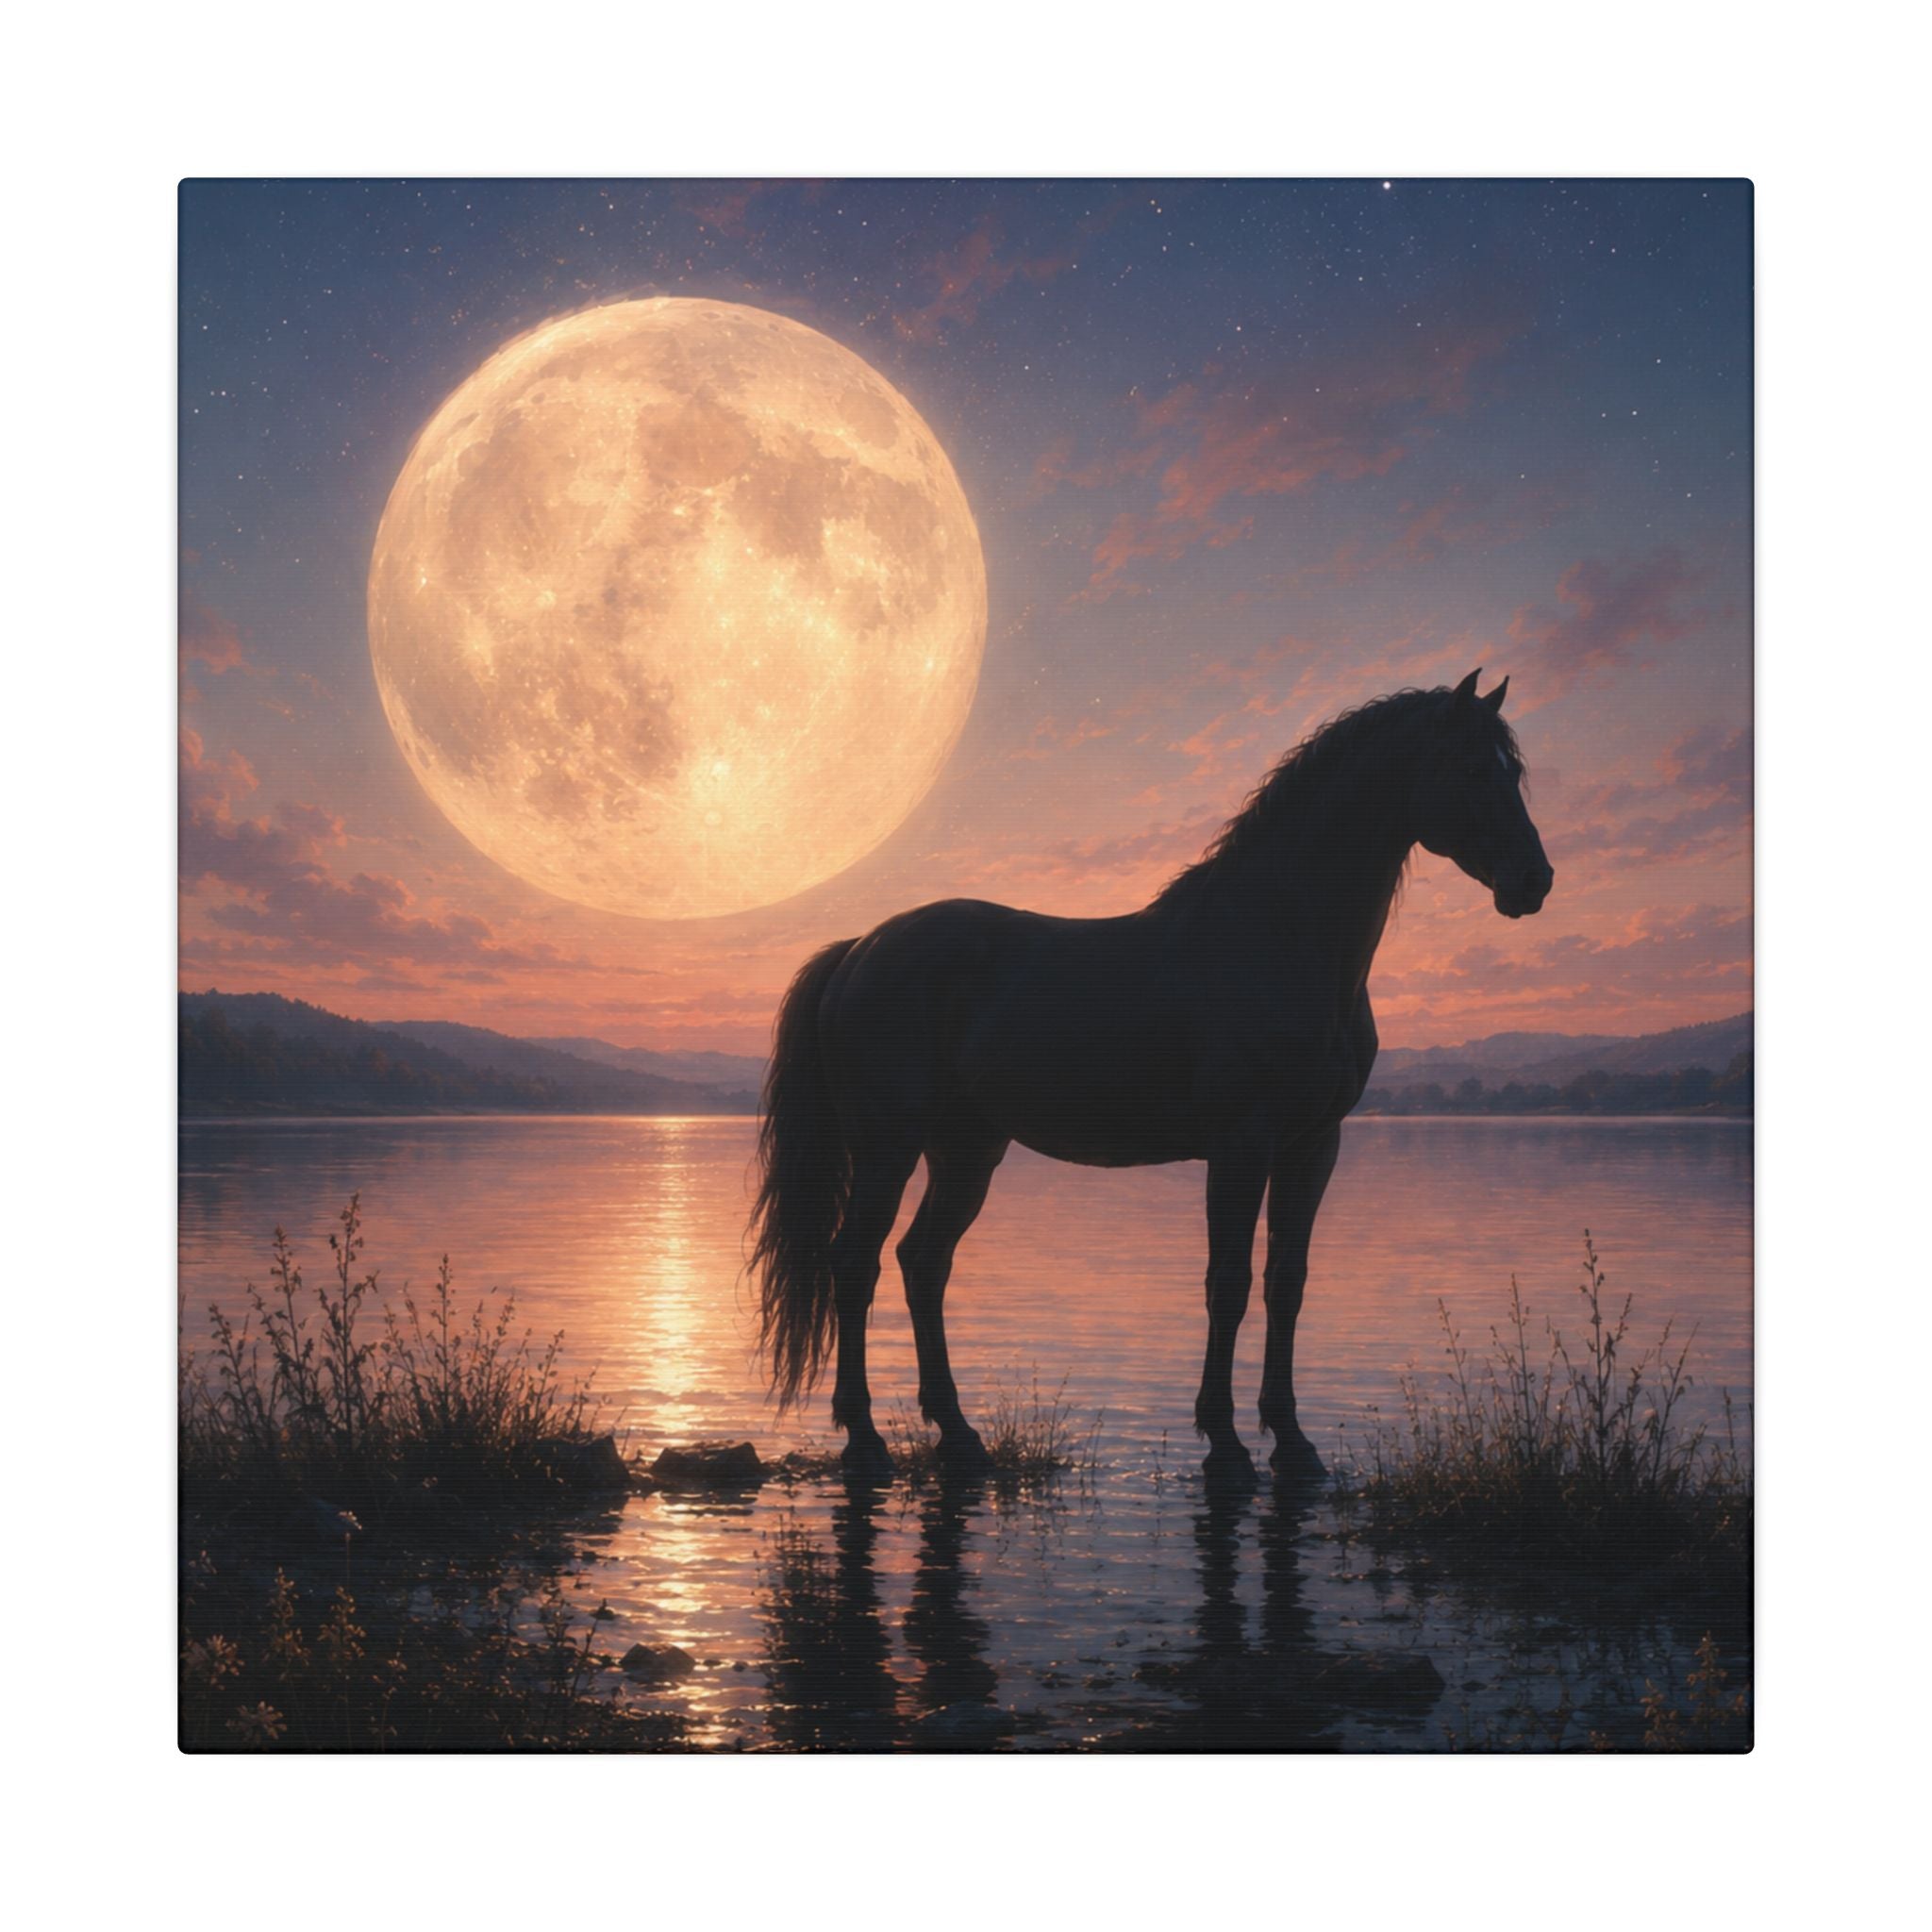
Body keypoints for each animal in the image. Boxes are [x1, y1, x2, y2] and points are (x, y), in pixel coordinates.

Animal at [748, 670, 1553, 1483]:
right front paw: (1226, 1443)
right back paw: (864, 1437)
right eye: (1472, 768)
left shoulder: (1312, 1146)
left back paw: (958, 1432)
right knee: (856, 1264)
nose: (1534, 880)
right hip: (888, 1149)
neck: (1280, 940)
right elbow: (1227, 1284)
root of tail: (861, 948)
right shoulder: (1241, 1146)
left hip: (967, 1152)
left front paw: (1293, 1442)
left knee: (923, 1263)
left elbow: (1285, 1283)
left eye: (1513, 771)